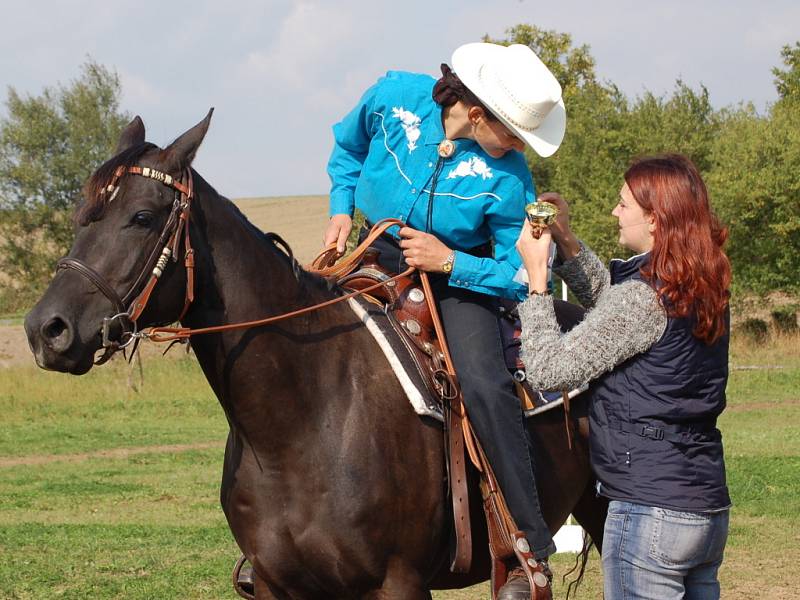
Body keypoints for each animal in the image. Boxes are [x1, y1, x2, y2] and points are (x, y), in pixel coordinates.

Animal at [23, 113, 608, 600]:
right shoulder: (278, 586)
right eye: (81, 215)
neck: (303, 419)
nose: (46, 329)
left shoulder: (398, 582)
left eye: (142, 216)